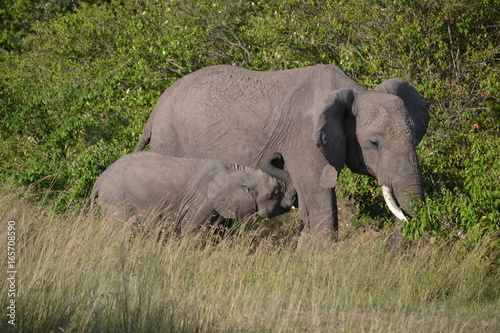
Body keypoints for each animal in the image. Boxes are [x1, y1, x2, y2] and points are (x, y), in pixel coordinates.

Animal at [91, 150, 294, 233]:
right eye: (276, 194)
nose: (279, 155)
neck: (238, 170)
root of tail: (99, 181)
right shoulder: (202, 200)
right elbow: (192, 229)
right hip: (117, 200)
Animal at [136, 63, 430, 243]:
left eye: (415, 138)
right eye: (374, 142)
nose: (275, 156)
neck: (356, 91)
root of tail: (155, 110)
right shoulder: (303, 140)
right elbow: (320, 199)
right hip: (171, 141)